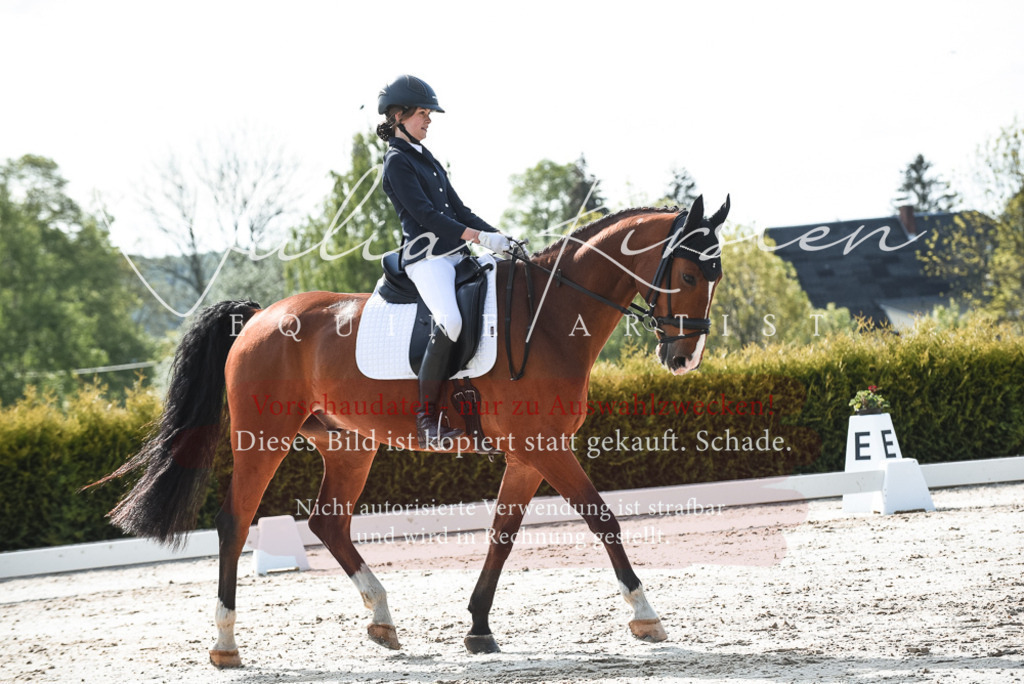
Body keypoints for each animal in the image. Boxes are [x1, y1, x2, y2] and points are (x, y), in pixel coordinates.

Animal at [93, 195, 729, 667]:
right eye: (687, 271)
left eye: (714, 276)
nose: (683, 358)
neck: (547, 321)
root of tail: (257, 318)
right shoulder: (543, 448)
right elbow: (603, 518)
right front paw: (646, 615)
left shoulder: (529, 455)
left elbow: (502, 534)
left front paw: (478, 627)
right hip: (262, 439)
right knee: (236, 520)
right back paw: (226, 645)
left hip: (348, 445)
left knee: (328, 522)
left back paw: (382, 620)